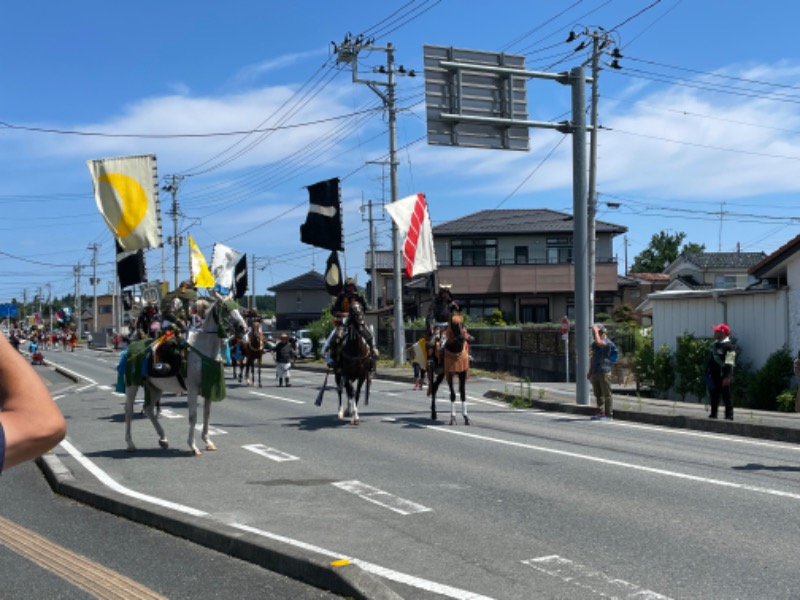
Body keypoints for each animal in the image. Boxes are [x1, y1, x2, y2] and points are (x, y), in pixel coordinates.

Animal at [122, 290, 245, 454]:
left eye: (237, 307)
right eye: (225, 308)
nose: (243, 327)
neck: (202, 349)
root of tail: (132, 346)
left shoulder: (208, 387)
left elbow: (206, 414)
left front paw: (207, 441)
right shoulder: (192, 388)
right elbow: (193, 416)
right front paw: (193, 446)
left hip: (154, 387)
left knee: (148, 409)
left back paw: (163, 439)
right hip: (132, 384)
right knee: (129, 410)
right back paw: (130, 443)